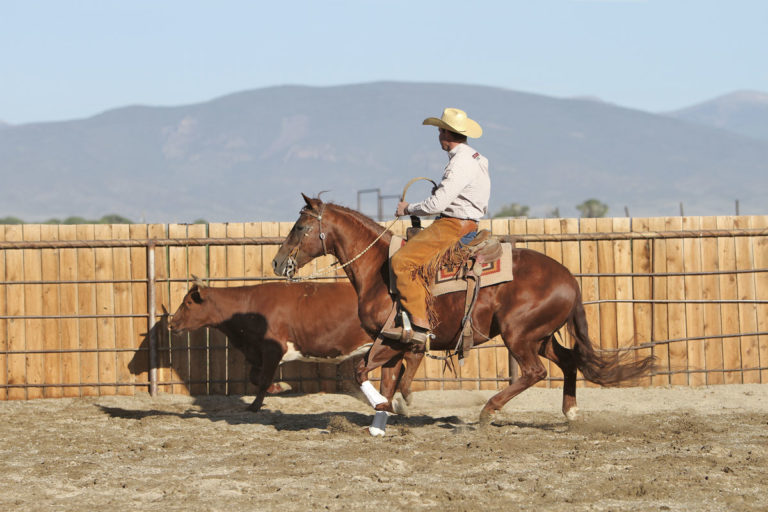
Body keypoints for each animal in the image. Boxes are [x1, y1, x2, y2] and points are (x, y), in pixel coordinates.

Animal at [170, 280, 420, 412]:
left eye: (188, 303)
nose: (172, 323)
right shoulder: (258, 352)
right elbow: (255, 377)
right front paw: (277, 388)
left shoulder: (272, 349)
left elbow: (262, 380)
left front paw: (256, 404)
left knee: (410, 359)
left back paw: (402, 395)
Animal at [272, 196, 656, 424]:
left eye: (301, 227)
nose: (277, 263)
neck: (379, 269)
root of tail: (570, 279)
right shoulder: (395, 341)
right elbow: (388, 379)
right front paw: (387, 414)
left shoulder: (392, 340)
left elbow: (361, 373)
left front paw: (391, 406)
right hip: (541, 335)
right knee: (569, 360)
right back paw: (570, 411)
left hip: (519, 334)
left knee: (534, 372)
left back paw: (488, 411)